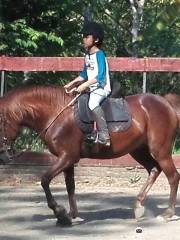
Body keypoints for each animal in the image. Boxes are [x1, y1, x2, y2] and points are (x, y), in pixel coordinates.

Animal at [0, 85, 180, 226]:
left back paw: (167, 214)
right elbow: (70, 186)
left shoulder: (67, 157)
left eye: (0, 122)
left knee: (173, 177)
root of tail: (167, 103)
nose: (3, 156)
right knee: (154, 170)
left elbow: (45, 180)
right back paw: (138, 206)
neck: (57, 113)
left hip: (160, 151)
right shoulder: (68, 160)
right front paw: (71, 215)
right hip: (138, 150)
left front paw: (60, 213)